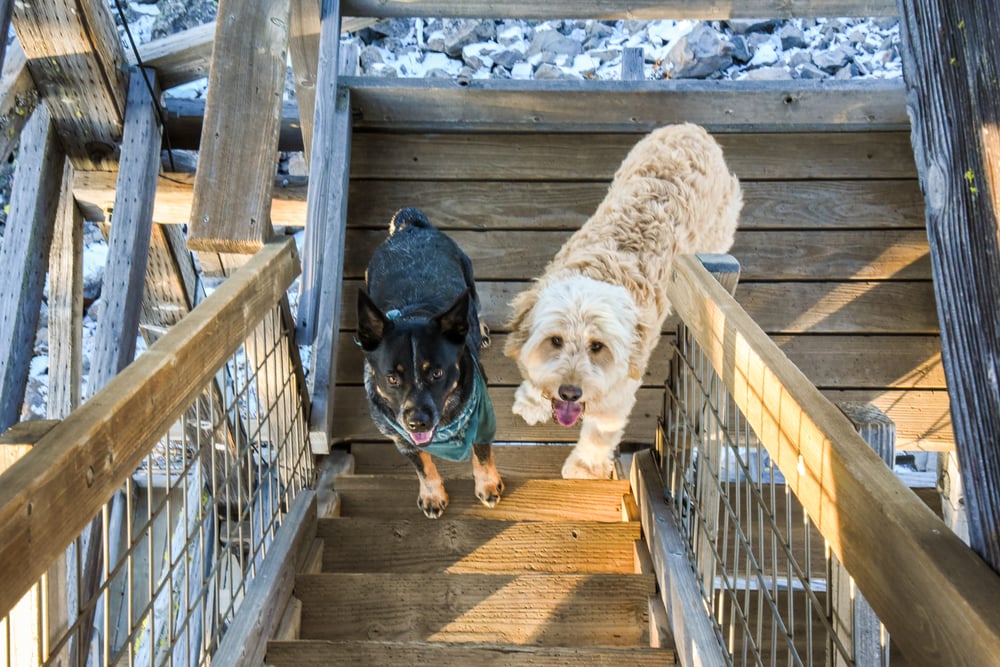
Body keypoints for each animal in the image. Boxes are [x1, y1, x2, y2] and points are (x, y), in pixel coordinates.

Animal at [356, 207, 504, 516]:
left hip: (468, 277)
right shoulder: (402, 440)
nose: (417, 422)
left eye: (437, 373)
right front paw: (432, 495)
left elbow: (482, 453)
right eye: (392, 378)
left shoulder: (483, 419)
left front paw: (487, 485)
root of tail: (410, 225)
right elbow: (423, 467)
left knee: (475, 304)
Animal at [500, 124, 744, 480]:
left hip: (716, 235)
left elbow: (600, 433)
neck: (602, 273)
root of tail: (693, 129)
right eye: (555, 340)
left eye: (597, 347)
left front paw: (585, 468)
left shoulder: (618, 395)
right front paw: (532, 401)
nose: (570, 392)